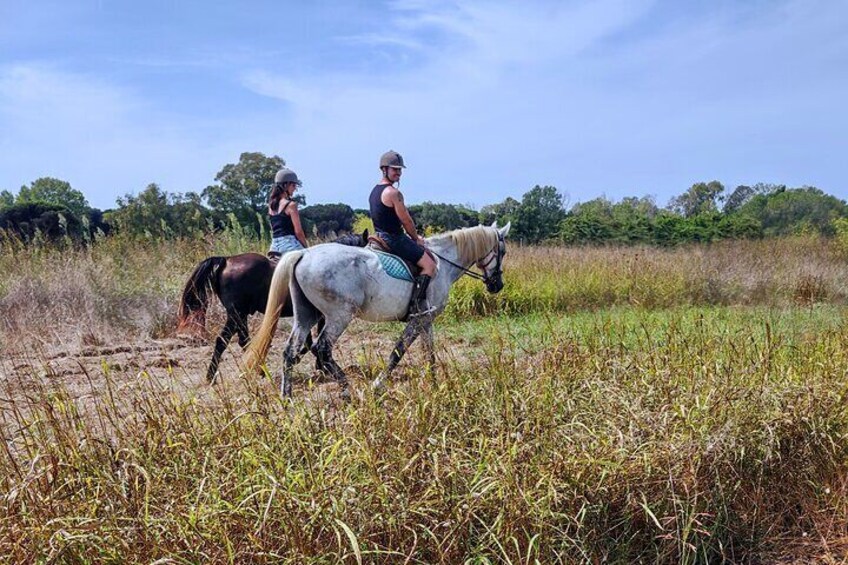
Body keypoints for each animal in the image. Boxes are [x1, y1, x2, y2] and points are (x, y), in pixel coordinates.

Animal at [177, 230, 366, 384]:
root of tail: (227, 260)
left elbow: (308, 342)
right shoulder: (322, 315)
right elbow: (313, 342)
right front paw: (320, 365)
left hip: (240, 315)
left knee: (243, 341)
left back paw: (255, 370)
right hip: (236, 314)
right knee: (224, 341)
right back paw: (217, 375)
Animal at [242, 223, 512, 394]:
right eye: (503, 251)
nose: (497, 285)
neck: (442, 263)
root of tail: (303, 254)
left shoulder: (427, 320)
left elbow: (430, 352)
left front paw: (435, 383)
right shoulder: (418, 319)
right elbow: (398, 352)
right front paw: (378, 385)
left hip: (306, 315)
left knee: (289, 351)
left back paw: (287, 398)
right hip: (339, 316)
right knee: (322, 349)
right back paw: (348, 390)